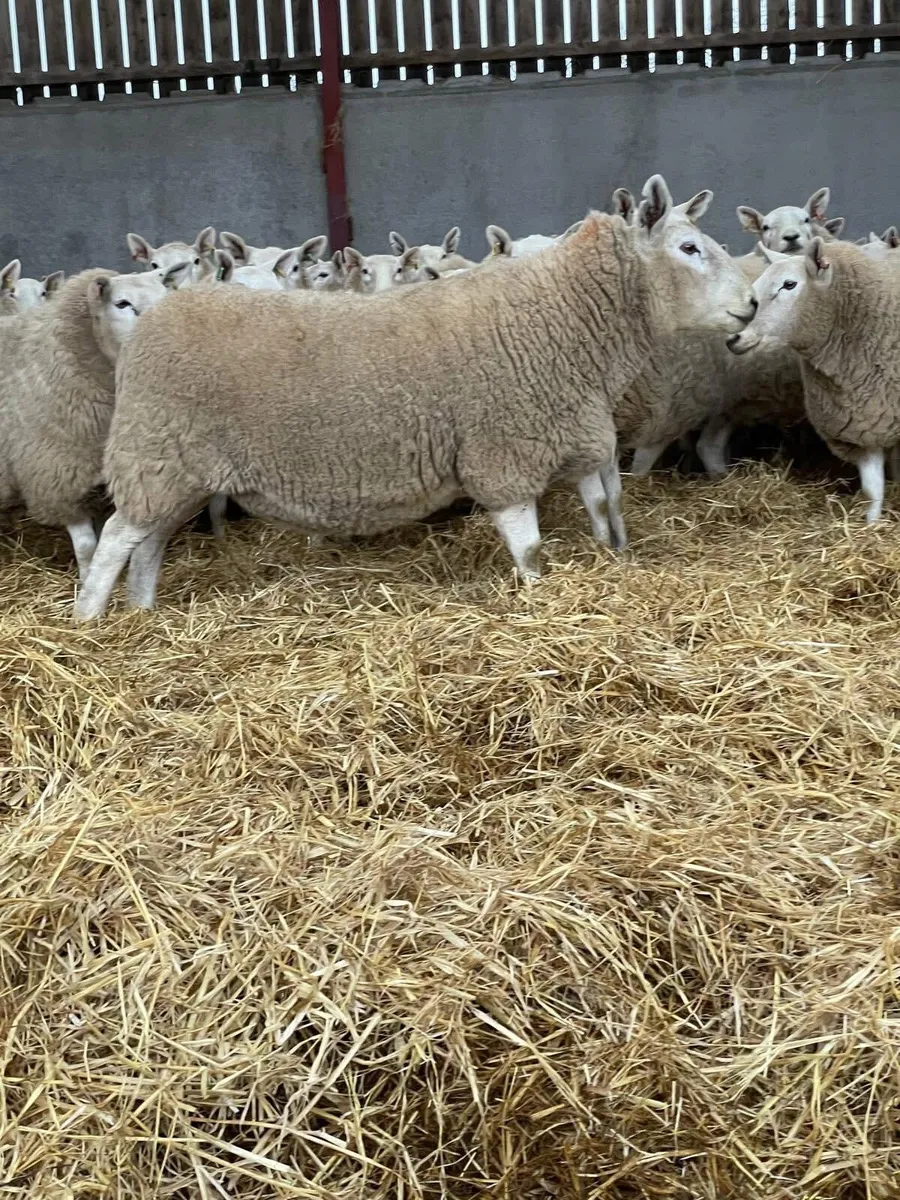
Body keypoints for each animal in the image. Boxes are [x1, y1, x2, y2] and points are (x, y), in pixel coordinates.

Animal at [72, 174, 758, 621]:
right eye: (690, 249)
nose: (752, 304)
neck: (561, 317)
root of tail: (158, 319)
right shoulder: (504, 454)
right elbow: (531, 551)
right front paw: (542, 600)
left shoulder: (580, 440)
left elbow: (606, 517)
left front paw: (612, 563)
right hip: (156, 454)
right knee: (115, 541)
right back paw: (90, 621)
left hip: (176, 467)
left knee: (149, 542)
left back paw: (143, 611)